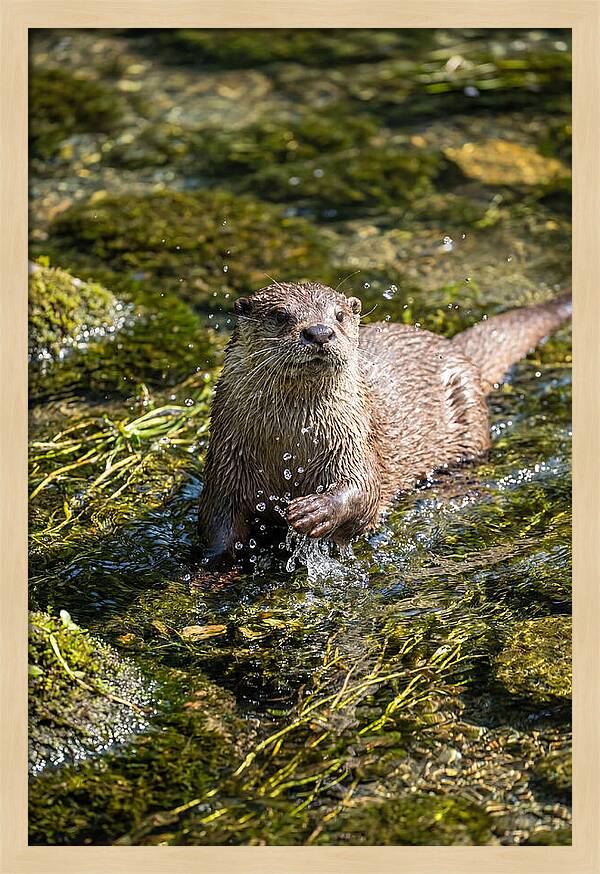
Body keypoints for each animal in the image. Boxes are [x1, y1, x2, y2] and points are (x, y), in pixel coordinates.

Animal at [197, 282, 571, 565]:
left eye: (339, 315)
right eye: (279, 315)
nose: (319, 332)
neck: (290, 445)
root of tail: (455, 349)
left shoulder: (355, 441)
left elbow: (365, 490)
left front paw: (314, 511)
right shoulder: (226, 463)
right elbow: (218, 524)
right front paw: (212, 569)